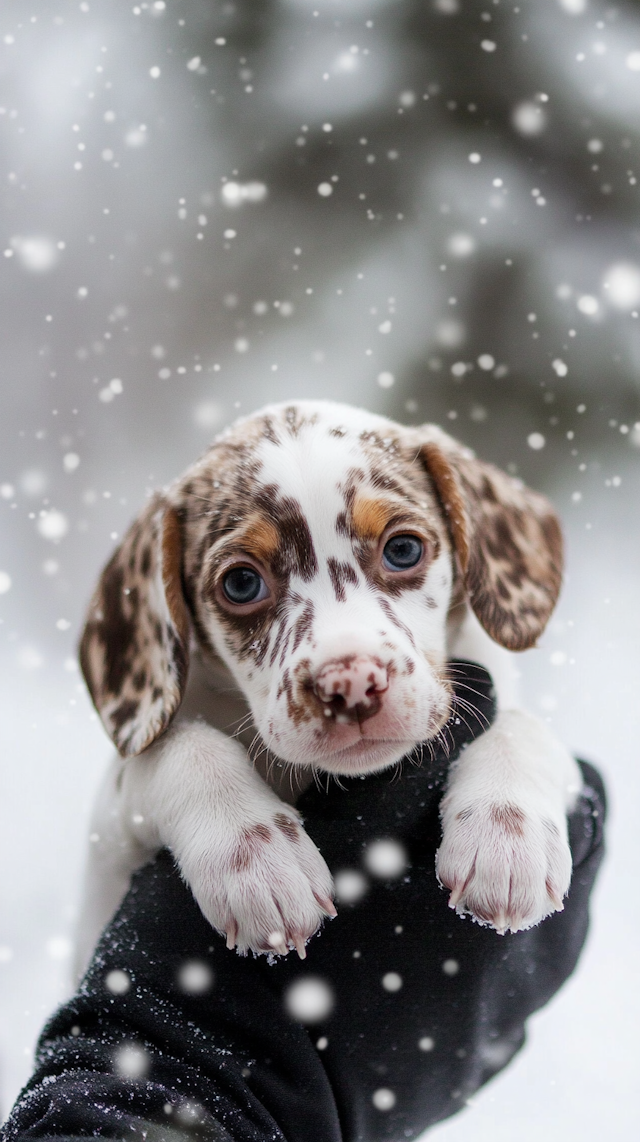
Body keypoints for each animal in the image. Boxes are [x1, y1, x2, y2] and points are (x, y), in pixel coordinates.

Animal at [74, 401, 580, 972]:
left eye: (403, 549)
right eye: (241, 583)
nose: (352, 683)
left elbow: (523, 726)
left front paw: (507, 829)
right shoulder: (103, 864)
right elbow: (179, 750)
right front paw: (255, 857)